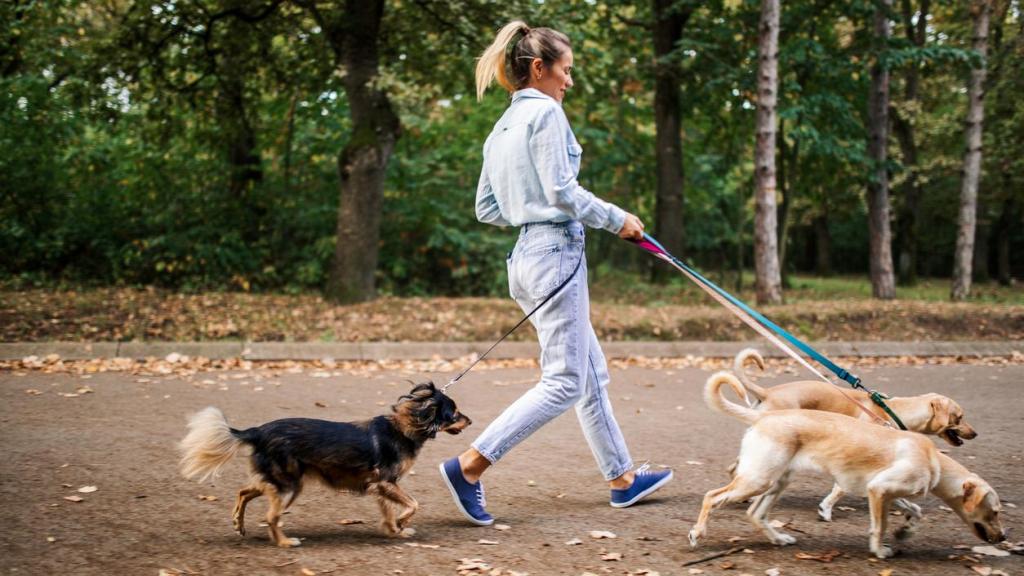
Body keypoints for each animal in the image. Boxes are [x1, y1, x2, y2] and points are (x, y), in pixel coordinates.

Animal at [180, 381, 471, 541]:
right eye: (454, 412)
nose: (471, 420)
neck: (406, 426)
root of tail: (258, 431)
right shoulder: (386, 483)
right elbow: (413, 504)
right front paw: (400, 524)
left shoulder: (379, 487)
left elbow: (390, 511)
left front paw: (394, 530)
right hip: (289, 485)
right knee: (268, 511)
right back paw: (283, 541)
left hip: (281, 481)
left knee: (244, 491)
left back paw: (238, 525)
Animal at [688, 373, 1007, 557]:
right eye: (994, 512)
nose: (1004, 536)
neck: (931, 458)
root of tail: (763, 415)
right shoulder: (878, 489)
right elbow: (877, 525)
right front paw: (880, 550)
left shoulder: (882, 490)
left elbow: (914, 510)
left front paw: (905, 531)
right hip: (758, 479)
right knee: (712, 496)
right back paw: (698, 533)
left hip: (776, 480)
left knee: (755, 514)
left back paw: (778, 538)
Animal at [733, 344, 978, 520]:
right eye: (959, 417)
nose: (975, 434)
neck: (894, 410)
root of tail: (767, 392)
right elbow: (840, 490)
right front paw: (826, 509)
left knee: (735, 467)